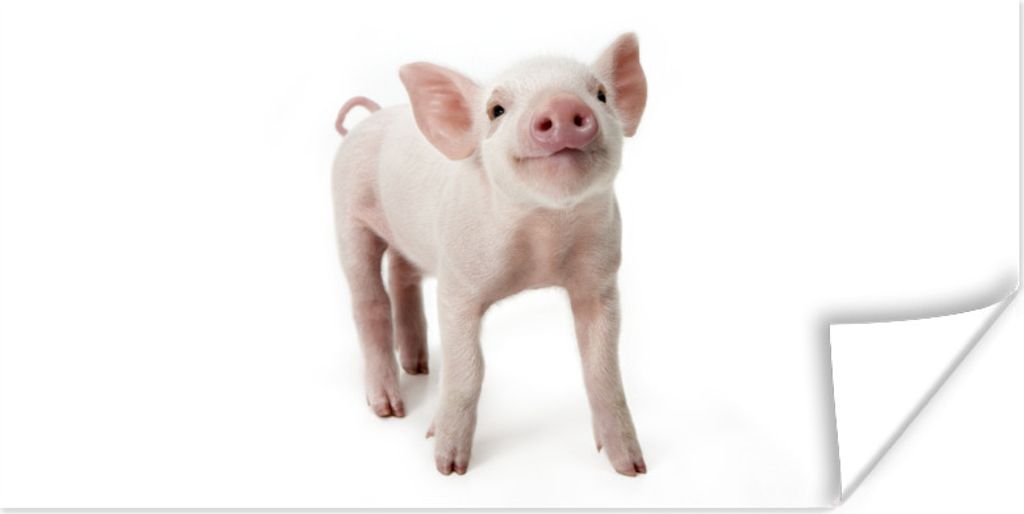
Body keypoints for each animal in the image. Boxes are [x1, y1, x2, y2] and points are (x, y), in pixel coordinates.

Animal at [331, 33, 647, 476]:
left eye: (600, 94)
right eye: (496, 110)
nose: (562, 105)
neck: (543, 236)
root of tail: (371, 117)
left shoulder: (600, 281)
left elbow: (602, 369)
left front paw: (632, 468)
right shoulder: (458, 284)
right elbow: (468, 369)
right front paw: (447, 467)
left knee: (402, 277)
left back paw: (419, 366)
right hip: (348, 216)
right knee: (368, 303)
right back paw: (390, 409)